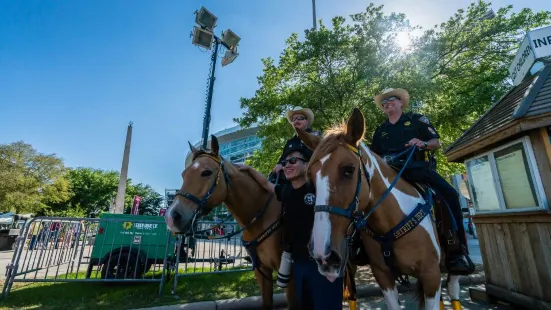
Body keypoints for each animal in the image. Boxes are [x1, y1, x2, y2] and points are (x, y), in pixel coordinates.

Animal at [166, 136, 300, 310]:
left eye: (206, 172)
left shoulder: (291, 279)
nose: (172, 217)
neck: (260, 217)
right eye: (184, 174)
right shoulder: (262, 271)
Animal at [298, 108, 466, 310]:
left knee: (454, 290)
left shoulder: (431, 274)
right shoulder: (383, 276)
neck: (391, 221)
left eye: (348, 170)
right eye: (310, 177)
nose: (323, 254)